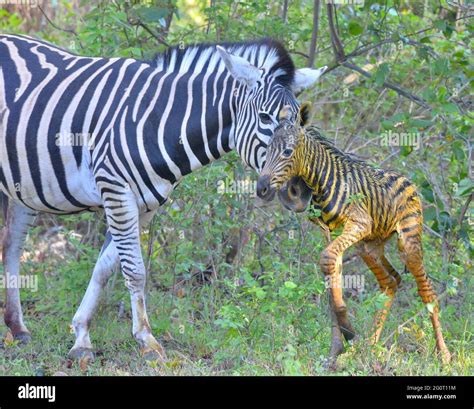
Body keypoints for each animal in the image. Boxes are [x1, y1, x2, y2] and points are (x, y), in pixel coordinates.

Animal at [0, 35, 326, 360]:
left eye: (299, 122)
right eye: (265, 117)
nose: (301, 190)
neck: (159, 121)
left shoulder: (144, 205)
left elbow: (105, 268)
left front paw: (81, 336)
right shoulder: (115, 189)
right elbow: (135, 270)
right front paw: (146, 340)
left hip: (21, 187)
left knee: (12, 246)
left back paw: (18, 328)